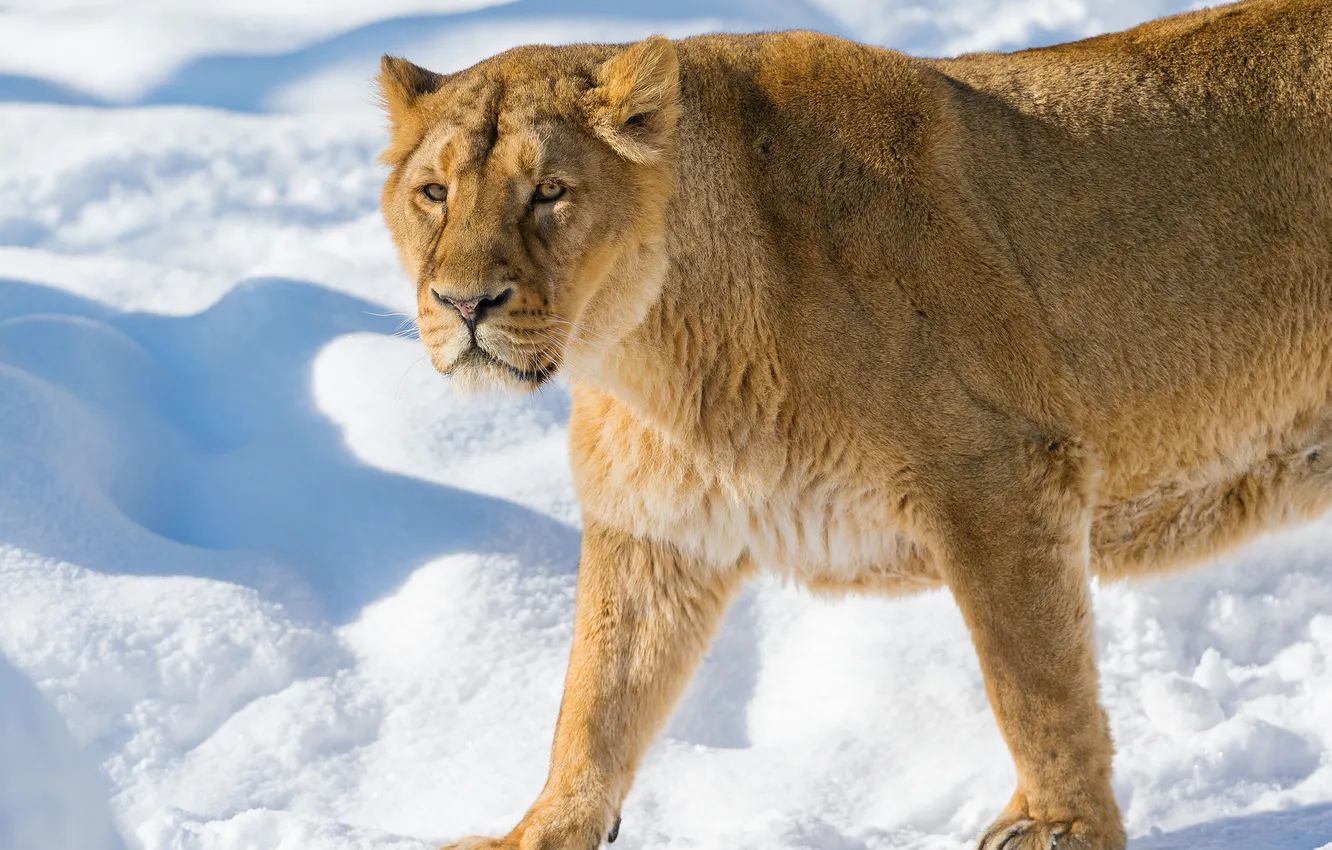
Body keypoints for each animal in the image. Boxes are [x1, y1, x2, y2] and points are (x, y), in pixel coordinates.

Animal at [375, 1, 1332, 847]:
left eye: (549, 192)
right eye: (433, 193)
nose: (463, 304)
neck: (646, 353)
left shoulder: (1004, 471)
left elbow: (1034, 682)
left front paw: (1062, 828)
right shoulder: (657, 523)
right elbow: (597, 698)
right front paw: (540, 832)